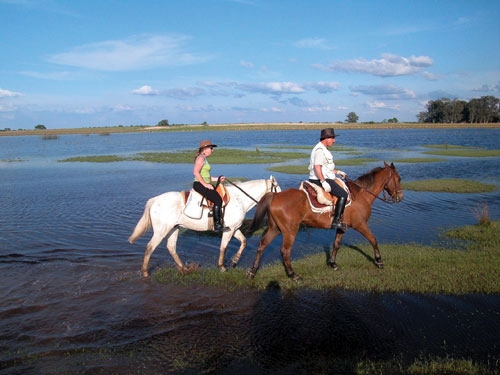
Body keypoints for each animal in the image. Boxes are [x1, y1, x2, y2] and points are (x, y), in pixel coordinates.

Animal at [129, 175, 280, 278]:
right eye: (277, 188)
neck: (240, 199)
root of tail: (155, 200)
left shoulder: (234, 229)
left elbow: (243, 242)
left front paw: (234, 261)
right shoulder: (228, 230)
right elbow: (223, 247)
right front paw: (222, 267)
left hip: (174, 228)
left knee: (171, 247)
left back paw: (184, 268)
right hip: (161, 230)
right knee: (150, 247)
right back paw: (145, 272)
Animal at [248, 163, 404, 280]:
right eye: (399, 178)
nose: (400, 197)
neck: (361, 195)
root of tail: (275, 195)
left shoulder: (342, 227)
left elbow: (336, 244)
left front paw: (333, 263)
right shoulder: (360, 225)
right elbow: (373, 240)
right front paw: (379, 261)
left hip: (275, 228)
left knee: (262, 245)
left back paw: (253, 271)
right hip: (289, 231)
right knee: (285, 251)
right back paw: (293, 274)